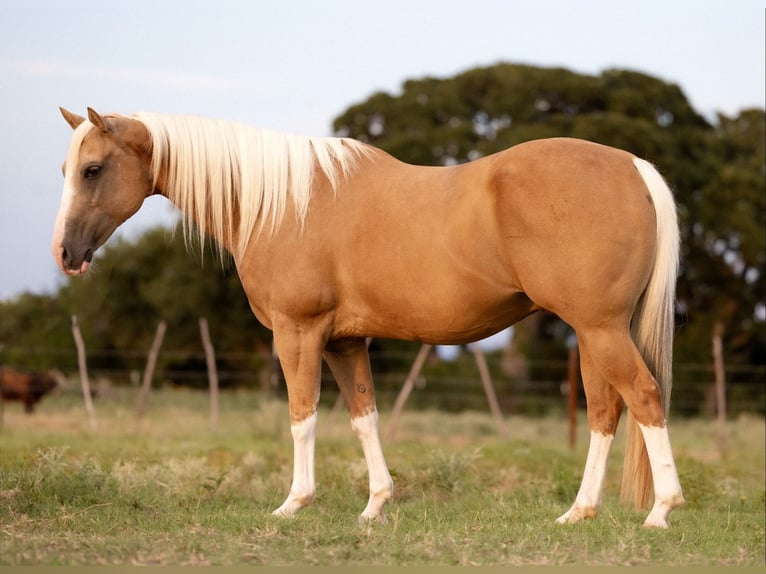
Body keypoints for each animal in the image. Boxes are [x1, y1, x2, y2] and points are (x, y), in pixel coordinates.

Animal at [52, 107, 684, 528]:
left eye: (92, 169)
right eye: (67, 168)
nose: (65, 254)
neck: (280, 203)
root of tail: (635, 167)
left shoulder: (299, 333)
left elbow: (302, 416)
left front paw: (294, 503)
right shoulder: (344, 342)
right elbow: (364, 418)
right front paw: (376, 504)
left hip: (601, 329)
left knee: (644, 397)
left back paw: (661, 511)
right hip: (593, 333)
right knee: (605, 412)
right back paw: (579, 512)